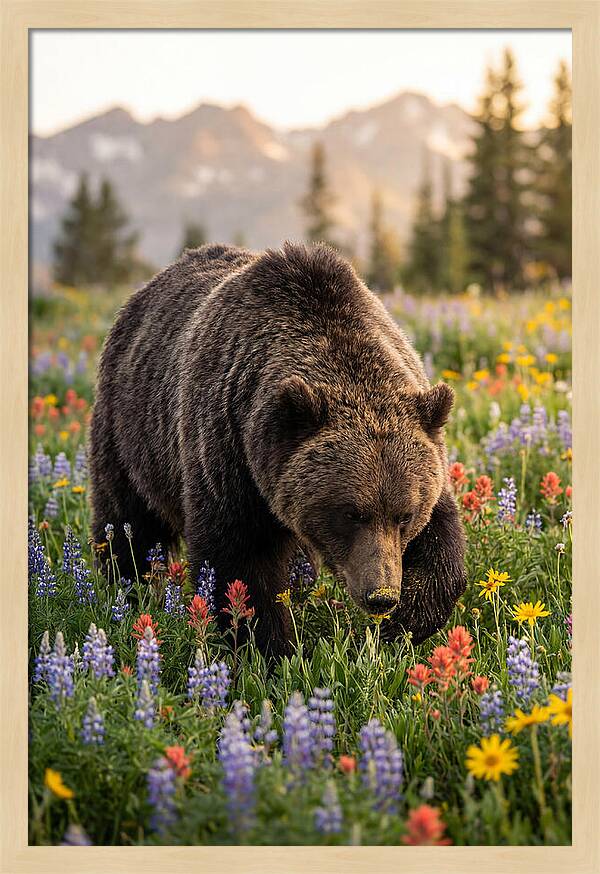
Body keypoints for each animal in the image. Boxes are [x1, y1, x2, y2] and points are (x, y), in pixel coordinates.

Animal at [89, 242, 466, 656]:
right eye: (352, 513)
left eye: (404, 515)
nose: (381, 595)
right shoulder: (228, 452)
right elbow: (239, 563)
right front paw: (268, 649)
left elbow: (442, 541)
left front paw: (406, 622)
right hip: (130, 432)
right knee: (128, 521)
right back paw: (125, 588)